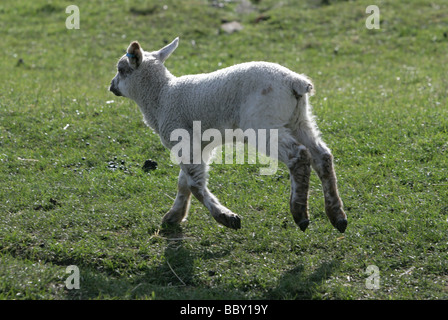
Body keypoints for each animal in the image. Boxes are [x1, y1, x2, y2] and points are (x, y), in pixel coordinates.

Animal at [108, 37, 346, 232]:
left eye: (121, 69)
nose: (111, 86)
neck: (161, 96)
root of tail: (294, 81)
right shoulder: (199, 144)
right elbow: (184, 181)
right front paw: (174, 216)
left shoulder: (182, 138)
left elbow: (194, 184)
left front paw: (225, 217)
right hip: (298, 120)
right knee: (322, 156)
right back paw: (337, 216)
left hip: (262, 123)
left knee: (298, 156)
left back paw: (299, 213)